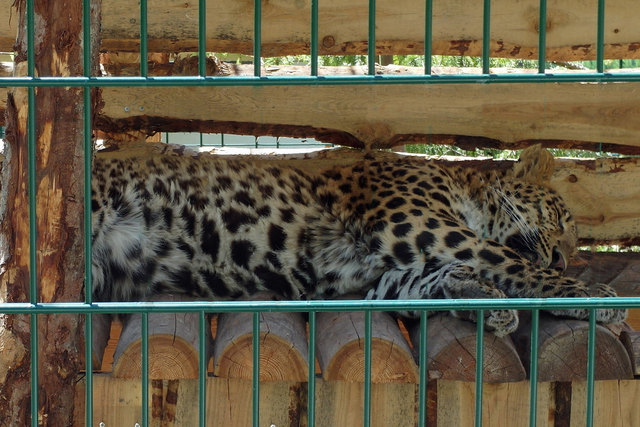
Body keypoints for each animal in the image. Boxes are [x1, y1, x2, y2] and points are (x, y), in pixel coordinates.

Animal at [91, 145, 626, 337]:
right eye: (561, 219)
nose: (563, 260)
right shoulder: (418, 224)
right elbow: (511, 262)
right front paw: (594, 297)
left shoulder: (372, 281)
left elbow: (422, 284)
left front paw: (478, 294)